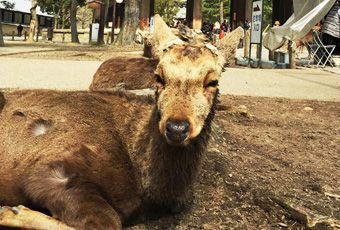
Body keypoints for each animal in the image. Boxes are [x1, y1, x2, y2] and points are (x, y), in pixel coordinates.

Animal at [0, 15, 231, 229]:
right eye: (158, 77)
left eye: (213, 81)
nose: (177, 127)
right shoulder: (51, 168)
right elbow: (109, 221)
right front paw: (11, 211)